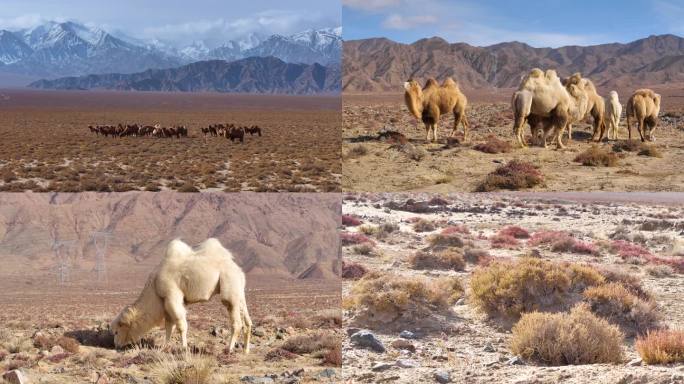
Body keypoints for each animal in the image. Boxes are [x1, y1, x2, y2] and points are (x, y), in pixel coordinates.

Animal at [111, 238, 252, 352]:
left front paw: (184, 348)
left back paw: (229, 349)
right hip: (239, 290)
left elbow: (180, 325)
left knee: (236, 320)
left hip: (229, 284)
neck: (154, 286)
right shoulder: (166, 302)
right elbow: (169, 326)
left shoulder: (172, 296)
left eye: (117, 331)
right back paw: (245, 350)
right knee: (247, 321)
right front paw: (164, 347)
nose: (116, 346)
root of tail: (239, 270)